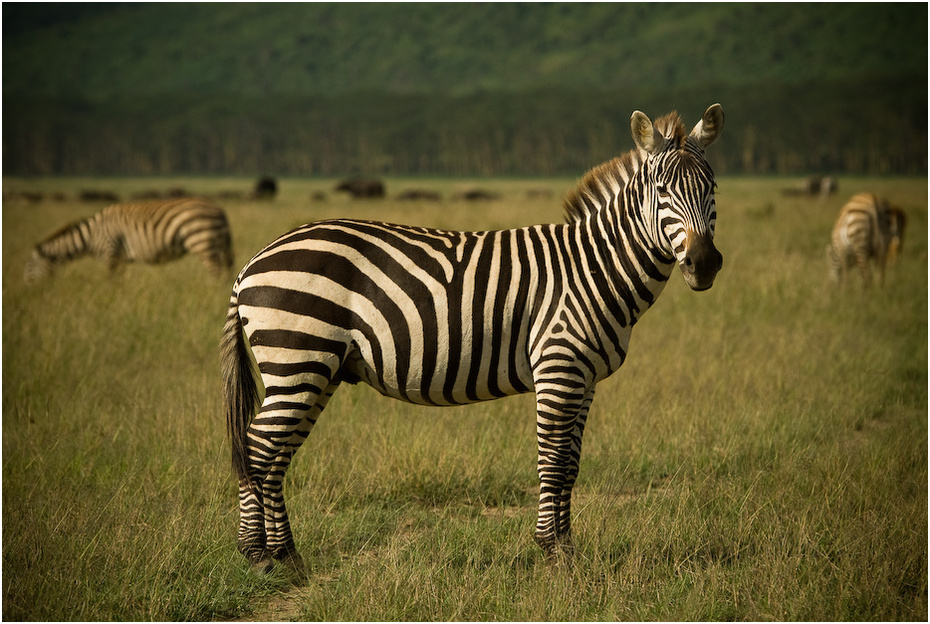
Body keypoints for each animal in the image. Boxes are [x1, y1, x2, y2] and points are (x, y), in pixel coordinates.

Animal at [24, 197, 234, 282]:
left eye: (30, 266)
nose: (28, 290)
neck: (90, 236)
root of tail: (220, 210)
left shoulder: (110, 251)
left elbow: (111, 279)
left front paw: (110, 299)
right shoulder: (121, 258)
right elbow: (119, 279)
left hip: (202, 242)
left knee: (217, 273)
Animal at [225, 103, 724, 576]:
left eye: (712, 189)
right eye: (661, 191)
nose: (703, 264)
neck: (594, 267)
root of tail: (252, 261)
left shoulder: (585, 379)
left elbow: (571, 465)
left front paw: (568, 549)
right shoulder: (559, 368)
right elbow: (552, 461)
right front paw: (552, 551)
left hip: (316, 371)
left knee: (276, 456)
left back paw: (288, 556)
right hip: (297, 358)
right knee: (257, 449)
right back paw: (258, 555)